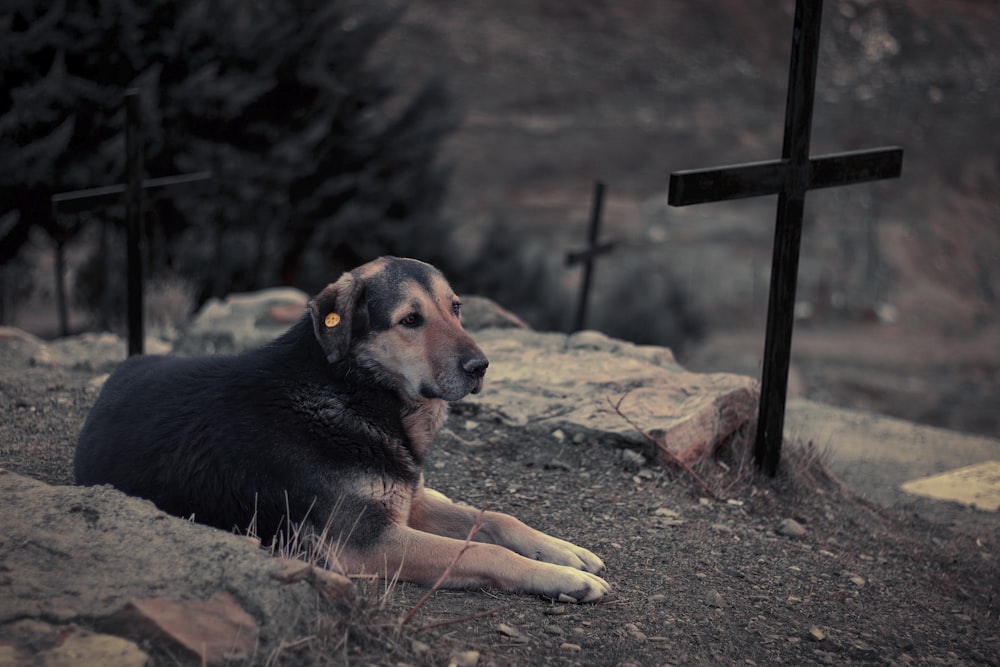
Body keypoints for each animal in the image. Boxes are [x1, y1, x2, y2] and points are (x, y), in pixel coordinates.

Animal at [76, 258, 608, 604]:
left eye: (456, 308)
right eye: (410, 319)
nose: (481, 367)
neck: (352, 388)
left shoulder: (404, 499)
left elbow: (497, 518)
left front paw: (567, 554)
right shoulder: (367, 542)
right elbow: (483, 549)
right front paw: (563, 579)